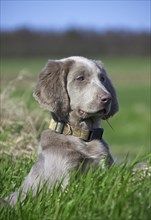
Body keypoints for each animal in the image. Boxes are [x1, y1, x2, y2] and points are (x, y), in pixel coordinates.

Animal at [6, 55, 118, 205]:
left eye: (102, 78)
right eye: (80, 78)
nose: (107, 98)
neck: (82, 136)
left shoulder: (104, 168)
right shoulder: (64, 180)